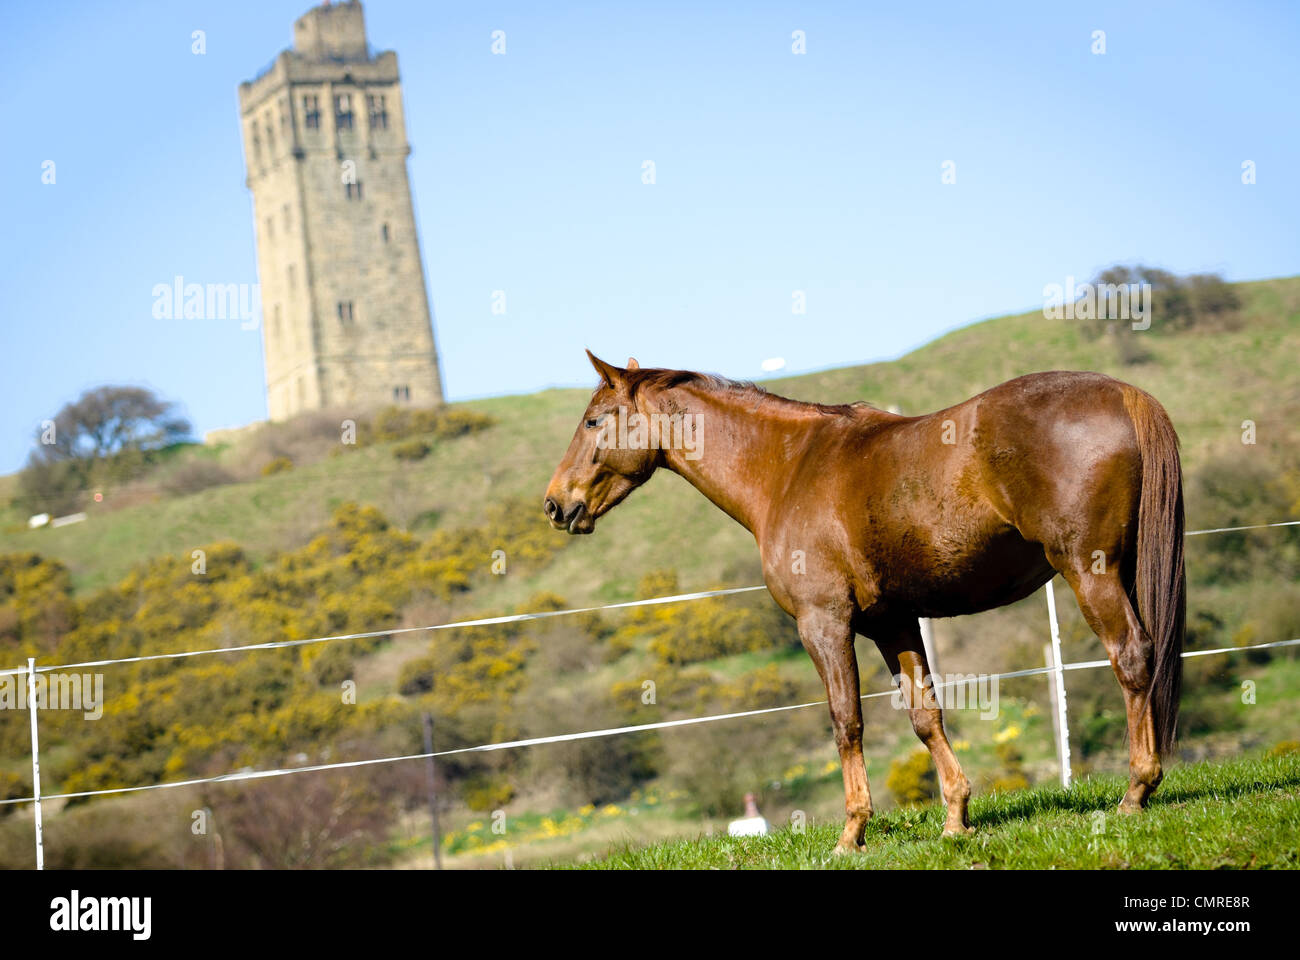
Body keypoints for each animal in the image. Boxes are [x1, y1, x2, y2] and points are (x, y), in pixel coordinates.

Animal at [543, 353, 1185, 853]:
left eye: (594, 420)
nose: (554, 504)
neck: (790, 468)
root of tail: (1123, 393)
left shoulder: (824, 625)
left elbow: (846, 721)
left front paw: (852, 832)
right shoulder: (893, 623)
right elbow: (925, 715)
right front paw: (956, 820)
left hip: (1089, 573)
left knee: (1132, 657)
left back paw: (1136, 790)